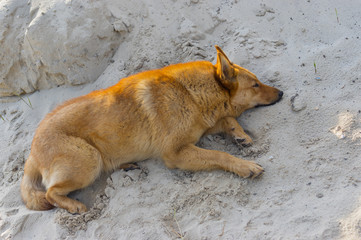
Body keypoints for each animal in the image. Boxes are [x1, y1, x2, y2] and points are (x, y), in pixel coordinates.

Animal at [21, 46, 282, 213]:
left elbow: (228, 120)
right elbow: (219, 154)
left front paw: (240, 135)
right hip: (89, 159)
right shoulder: (176, 153)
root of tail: (32, 151)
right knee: (50, 193)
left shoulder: (201, 127)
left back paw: (126, 164)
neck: (190, 93)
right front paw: (245, 166)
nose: (281, 93)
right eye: (255, 85)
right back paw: (74, 205)